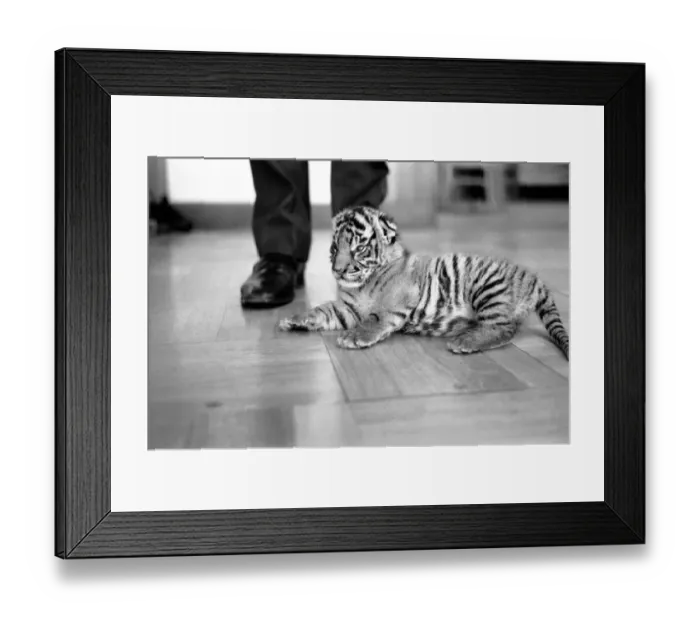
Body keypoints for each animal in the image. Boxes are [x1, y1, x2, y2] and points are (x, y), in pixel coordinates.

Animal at [276, 205, 569, 360]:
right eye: (335, 248)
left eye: (359, 248)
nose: (338, 270)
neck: (363, 283)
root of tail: (531, 277)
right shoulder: (348, 310)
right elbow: (323, 310)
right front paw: (294, 319)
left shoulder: (395, 301)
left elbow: (373, 319)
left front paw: (354, 336)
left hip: (487, 286)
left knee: (504, 328)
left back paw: (465, 342)